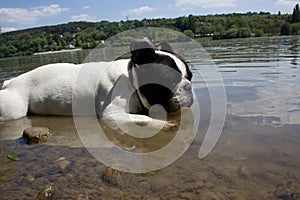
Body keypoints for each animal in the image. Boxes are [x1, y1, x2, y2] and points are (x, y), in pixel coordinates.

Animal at [0, 38, 193, 132]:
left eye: (190, 77)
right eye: (169, 80)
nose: (189, 86)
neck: (131, 79)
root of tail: (12, 82)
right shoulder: (112, 113)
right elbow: (143, 119)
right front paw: (165, 124)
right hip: (14, 109)